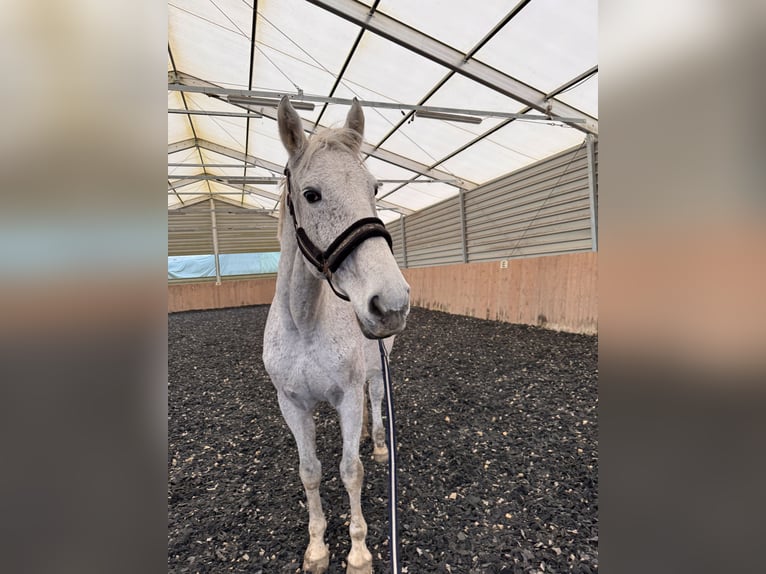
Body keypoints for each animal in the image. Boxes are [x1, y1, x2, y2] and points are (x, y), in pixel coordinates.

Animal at [262, 99, 412, 574]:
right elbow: (310, 471)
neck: (305, 324)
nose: (391, 303)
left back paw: (378, 443)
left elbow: (351, 470)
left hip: (378, 367)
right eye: (312, 194)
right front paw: (316, 549)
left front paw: (359, 553)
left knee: (376, 398)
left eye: (375, 187)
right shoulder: (292, 404)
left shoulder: (346, 396)